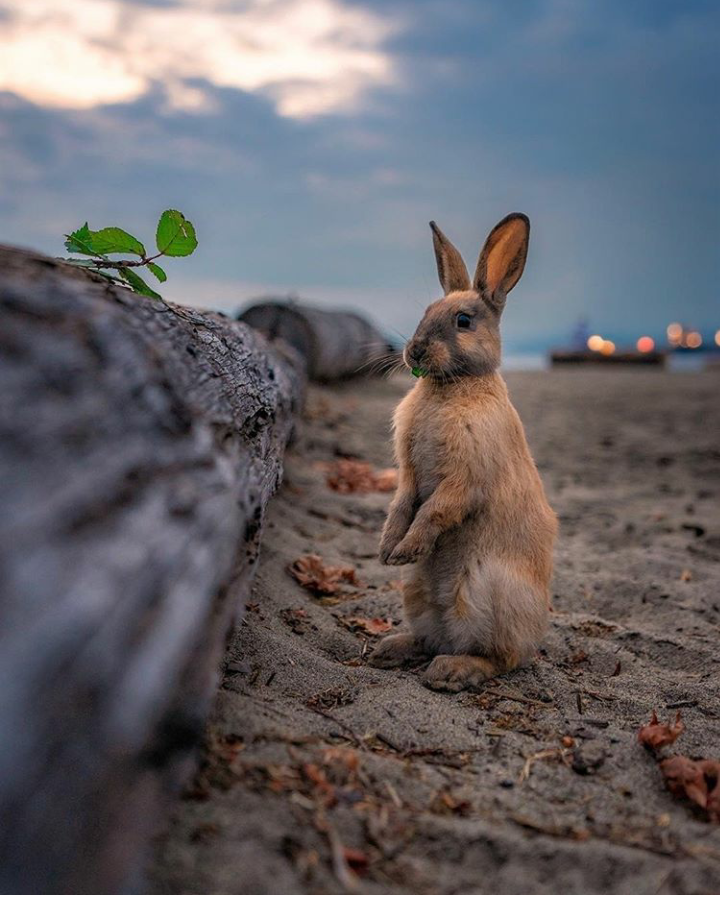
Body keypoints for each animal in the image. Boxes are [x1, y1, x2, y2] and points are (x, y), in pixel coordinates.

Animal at [368, 214, 560, 688]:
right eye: (425, 313)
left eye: (463, 321)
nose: (415, 350)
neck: (452, 385)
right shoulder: (408, 475)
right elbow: (402, 504)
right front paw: (388, 549)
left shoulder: (464, 480)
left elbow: (434, 511)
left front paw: (405, 549)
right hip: (416, 594)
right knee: (430, 639)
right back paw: (391, 649)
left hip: (482, 593)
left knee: (499, 659)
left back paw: (451, 670)